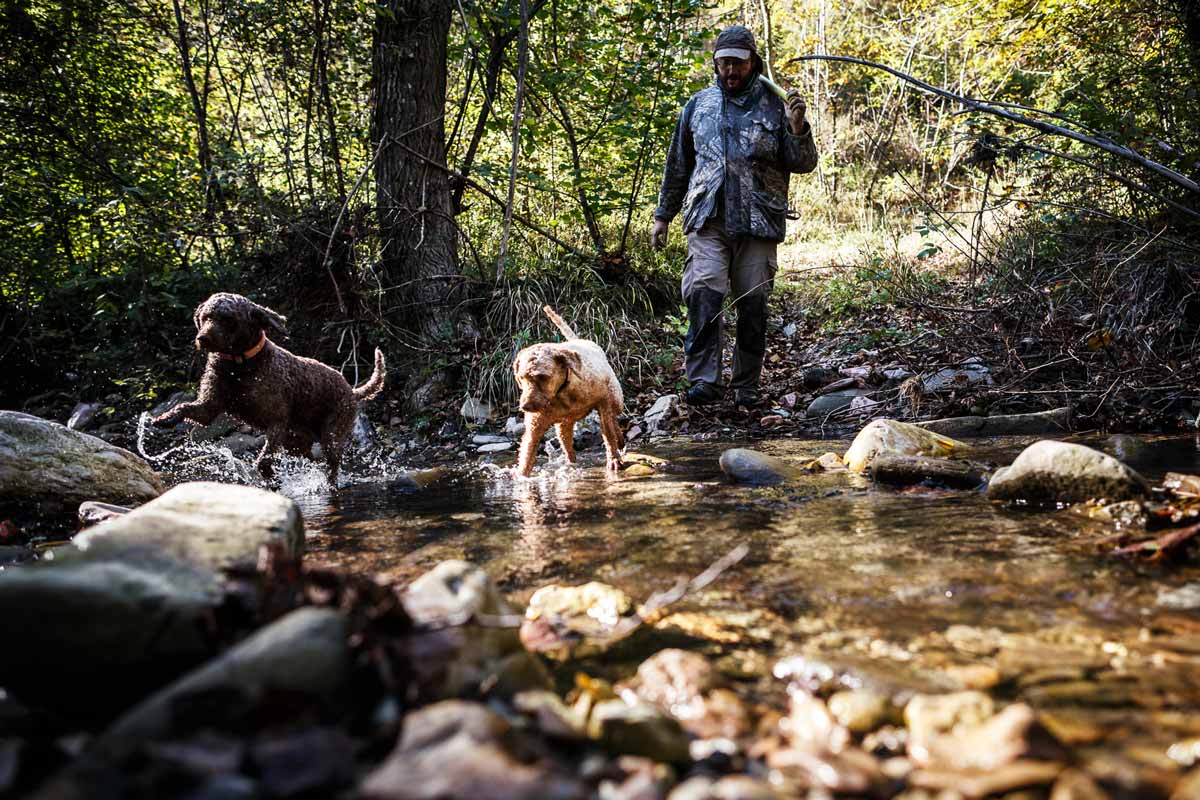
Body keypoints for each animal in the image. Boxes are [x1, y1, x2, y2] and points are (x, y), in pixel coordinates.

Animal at [151, 292, 384, 484]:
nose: (202, 339)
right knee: (312, 460)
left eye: (228, 319)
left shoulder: (276, 422)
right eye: (205, 317)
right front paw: (165, 418)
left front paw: (269, 475)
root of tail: (352, 391)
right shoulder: (208, 408)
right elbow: (184, 407)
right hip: (297, 442)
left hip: (332, 435)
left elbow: (264, 459)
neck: (239, 366)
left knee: (332, 466)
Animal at [516, 307, 628, 474]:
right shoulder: (534, 427)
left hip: (616, 398)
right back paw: (571, 463)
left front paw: (614, 459)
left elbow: (608, 434)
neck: (562, 392)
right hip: (564, 424)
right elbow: (527, 455)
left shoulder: (603, 402)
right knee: (567, 446)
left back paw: (620, 441)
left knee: (614, 419)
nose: (525, 407)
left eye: (542, 376)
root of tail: (581, 340)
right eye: (521, 378)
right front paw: (521, 476)